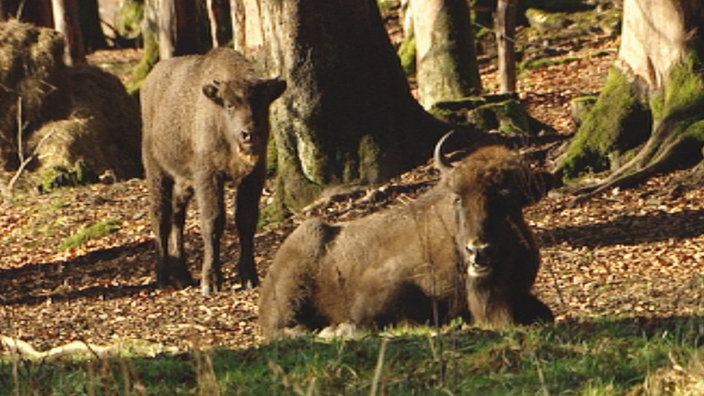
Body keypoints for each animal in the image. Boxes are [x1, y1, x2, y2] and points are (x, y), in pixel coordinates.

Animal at [140, 47, 286, 294]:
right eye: (229, 105)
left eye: (262, 103)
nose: (249, 134)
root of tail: (149, 80)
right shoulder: (208, 176)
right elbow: (213, 221)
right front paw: (210, 282)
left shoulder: (253, 176)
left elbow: (246, 221)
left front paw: (250, 278)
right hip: (156, 172)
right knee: (160, 217)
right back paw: (162, 278)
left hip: (184, 182)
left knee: (177, 216)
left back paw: (182, 276)